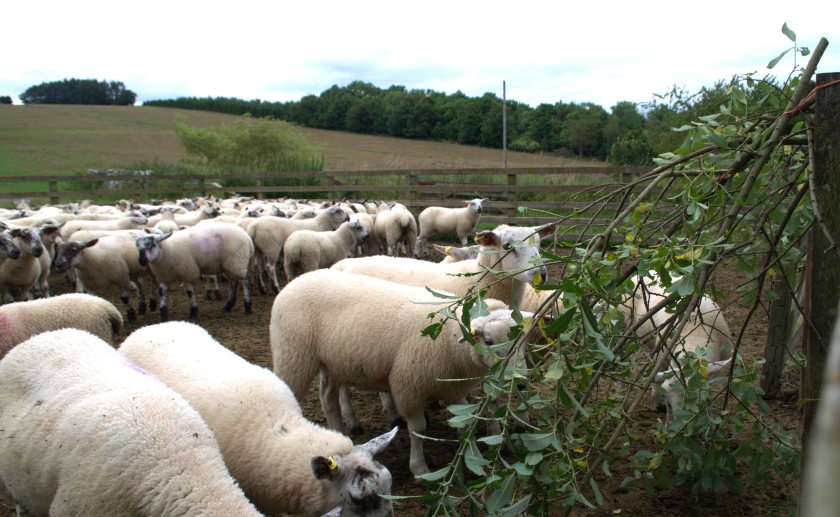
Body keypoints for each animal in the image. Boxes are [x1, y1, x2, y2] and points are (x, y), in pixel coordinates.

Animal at [270, 270, 532, 476]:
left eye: (523, 342)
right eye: (488, 341)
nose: (519, 382)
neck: (449, 340)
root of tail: (299, 279)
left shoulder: (452, 389)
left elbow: (465, 423)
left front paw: (469, 456)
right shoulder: (409, 386)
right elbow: (418, 429)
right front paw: (420, 469)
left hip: (334, 362)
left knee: (328, 397)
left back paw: (338, 434)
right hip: (293, 355)